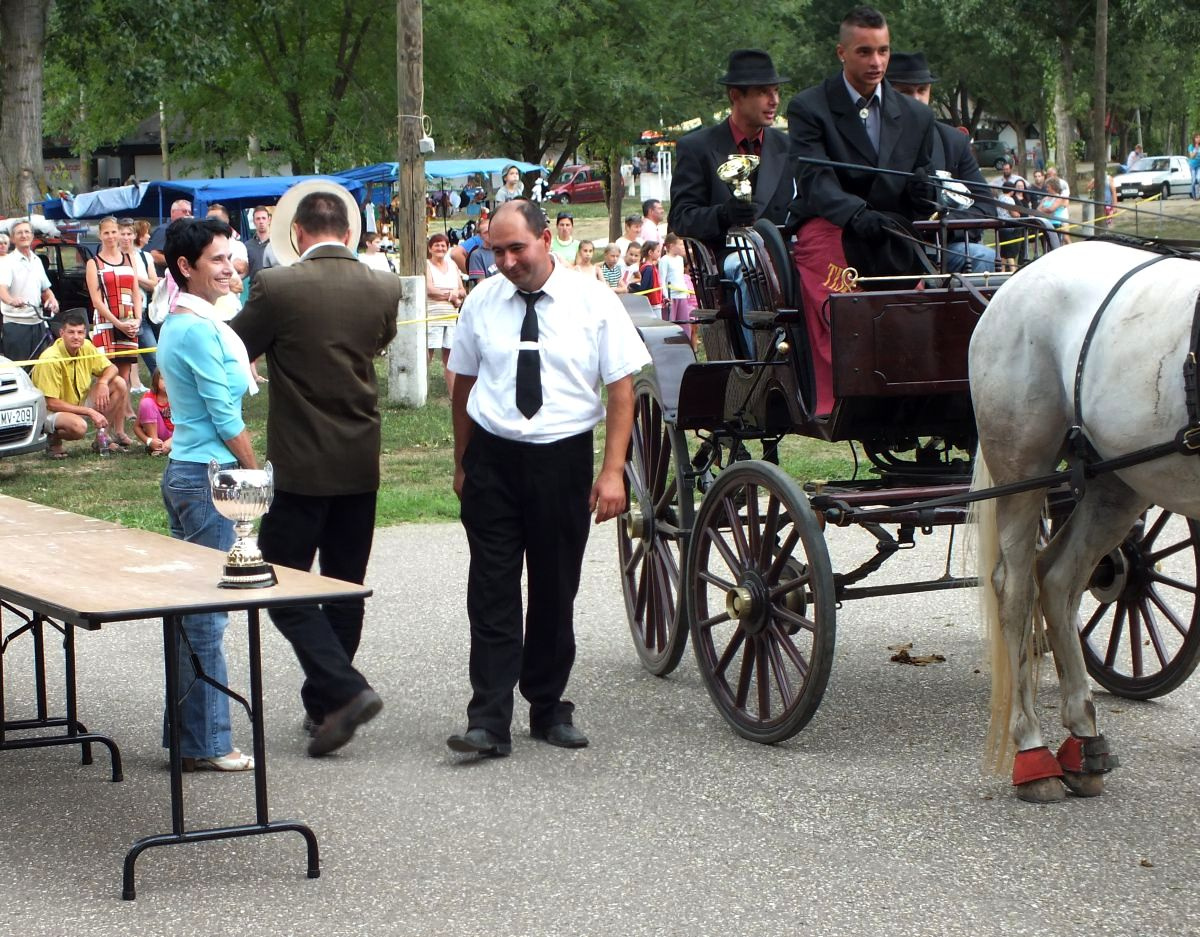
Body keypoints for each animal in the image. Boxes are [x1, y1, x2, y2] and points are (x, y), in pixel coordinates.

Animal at [964, 237, 1200, 801]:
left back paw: (1083, 741)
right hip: (1022, 468)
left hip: (1119, 479)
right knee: (1016, 590)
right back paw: (1032, 750)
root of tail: (1017, 279)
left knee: (1058, 578)